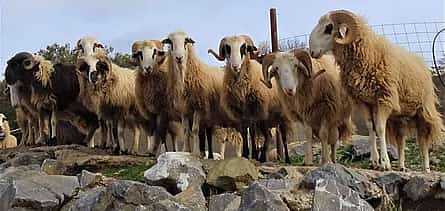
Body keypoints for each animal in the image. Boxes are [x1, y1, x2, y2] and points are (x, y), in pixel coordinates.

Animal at [208, 35, 292, 163]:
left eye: (244, 47)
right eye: (228, 48)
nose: (235, 66)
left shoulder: (255, 111)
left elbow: (251, 132)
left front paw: (253, 155)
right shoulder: (241, 113)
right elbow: (244, 132)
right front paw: (245, 154)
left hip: (281, 117)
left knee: (283, 137)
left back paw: (286, 158)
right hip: (266, 121)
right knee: (268, 136)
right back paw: (262, 156)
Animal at [308, 9, 444, 172]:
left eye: (329, 28)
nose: (311, 51)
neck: (369, 53)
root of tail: (421, 62)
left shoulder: (384, 99)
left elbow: (380, 129)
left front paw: (385, 163)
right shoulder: (365, 102)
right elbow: (370, 128)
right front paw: (374, 161)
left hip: (423, 110)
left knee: (422, 139)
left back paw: (426, 168)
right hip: (399, 117)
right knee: (401, 140)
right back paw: (401, 166)